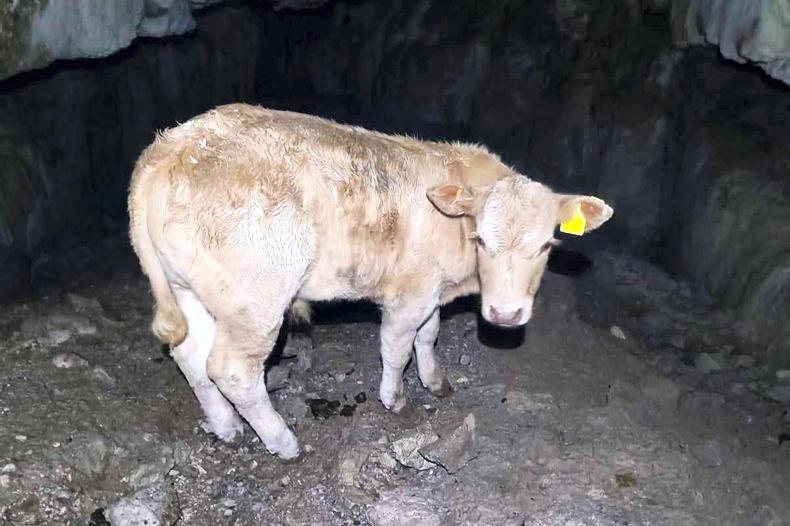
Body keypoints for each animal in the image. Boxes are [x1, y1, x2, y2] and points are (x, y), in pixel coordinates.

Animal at [128, 104, 613, 461]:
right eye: (481, 240)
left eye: (547, 244)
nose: (506, 314)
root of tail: (167, 147)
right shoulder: (409, 293)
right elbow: (398, 348)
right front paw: (395, 399)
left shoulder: (431, 290)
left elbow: (428, 336)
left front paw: (435, 381)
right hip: (254, 298)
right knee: (232, 369)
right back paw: (283, 442)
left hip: (190, 288)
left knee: (190, 355)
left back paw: (226, 426)